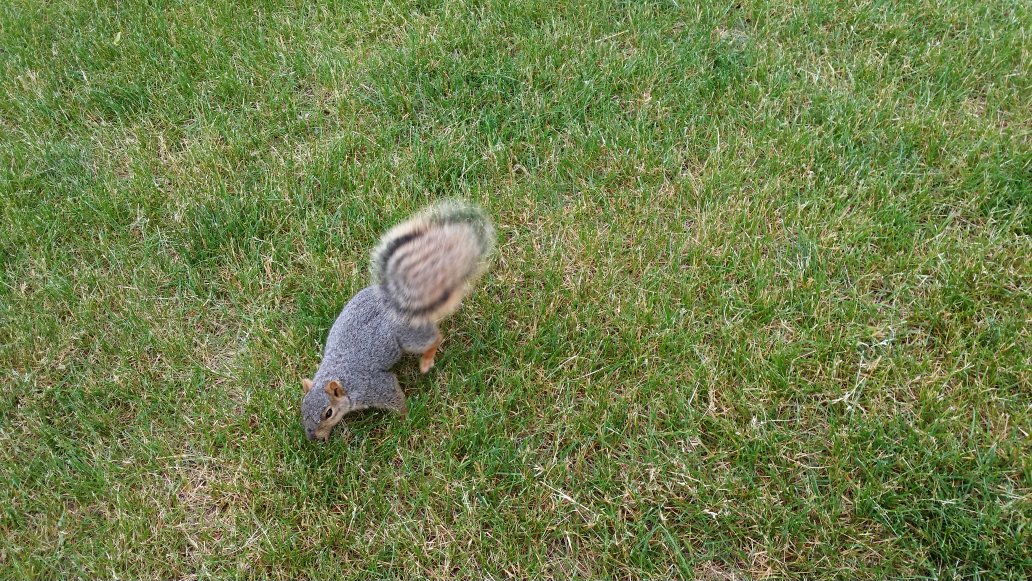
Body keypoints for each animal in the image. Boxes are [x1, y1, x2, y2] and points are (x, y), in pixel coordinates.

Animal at [300, 200, 495, 442]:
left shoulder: (372, 386)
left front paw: (405, 419)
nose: (313, 438)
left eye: (328, 412)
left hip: (410, 337)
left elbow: (394, 395)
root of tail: (400, 301)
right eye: (303, 409)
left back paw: (426, 361)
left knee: (435, 338)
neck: (339, 374)